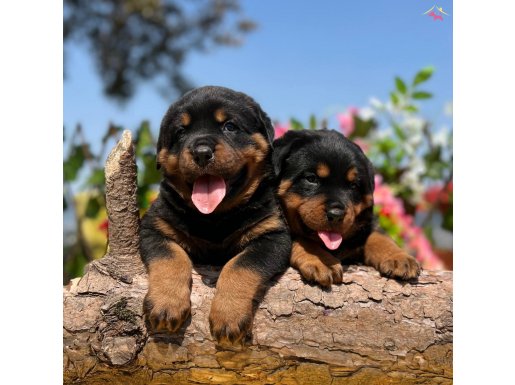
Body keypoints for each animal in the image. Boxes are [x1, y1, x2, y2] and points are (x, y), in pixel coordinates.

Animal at [141, 85, 292, 344]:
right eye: (181, 132)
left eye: (229, 126)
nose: (201, 152)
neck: (214, 218)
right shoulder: (154, 227)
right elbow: (170, 257)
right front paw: (166, 304)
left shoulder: (272, 235)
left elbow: (241, 265)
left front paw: (228, 315)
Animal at [272, 130, 422, 286]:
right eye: (311, 179)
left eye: (353, 185)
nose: (336, 214)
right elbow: (302, 239)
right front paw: (323, 260)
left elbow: (378, 235)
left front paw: (399, 257)